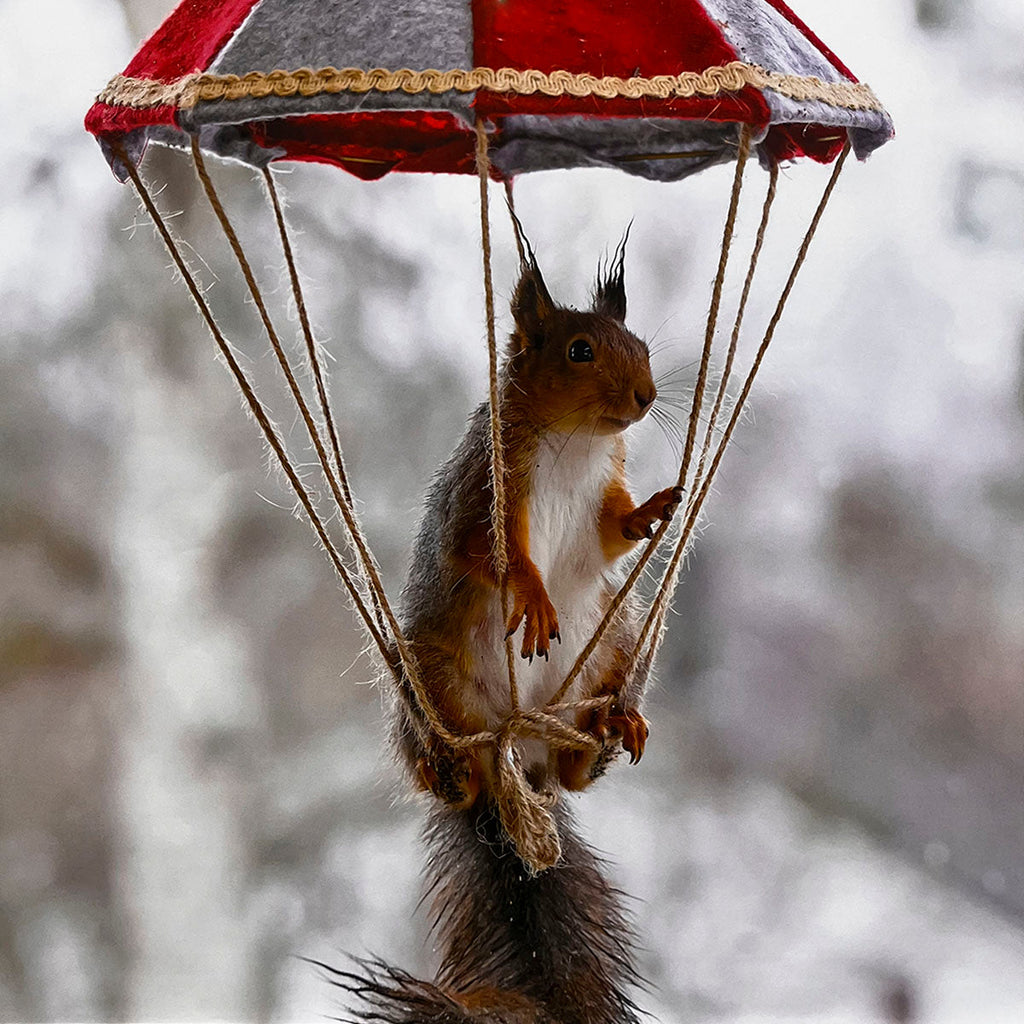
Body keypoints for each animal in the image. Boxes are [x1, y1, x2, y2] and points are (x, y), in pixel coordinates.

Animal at [330, 229, 681, 1023]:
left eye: (642, 346)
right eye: (579, 351)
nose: (646, 397)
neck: (576, 442)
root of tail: (515, 749)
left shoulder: (601, 497)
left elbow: (611, 535)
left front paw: (656, 508)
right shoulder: (484, 487)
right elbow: (490, 552)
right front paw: (533, 592)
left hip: (609, 642)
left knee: (576, 765)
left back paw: (610, 727)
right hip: (434, 673)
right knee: (449, 770)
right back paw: (452, 767)